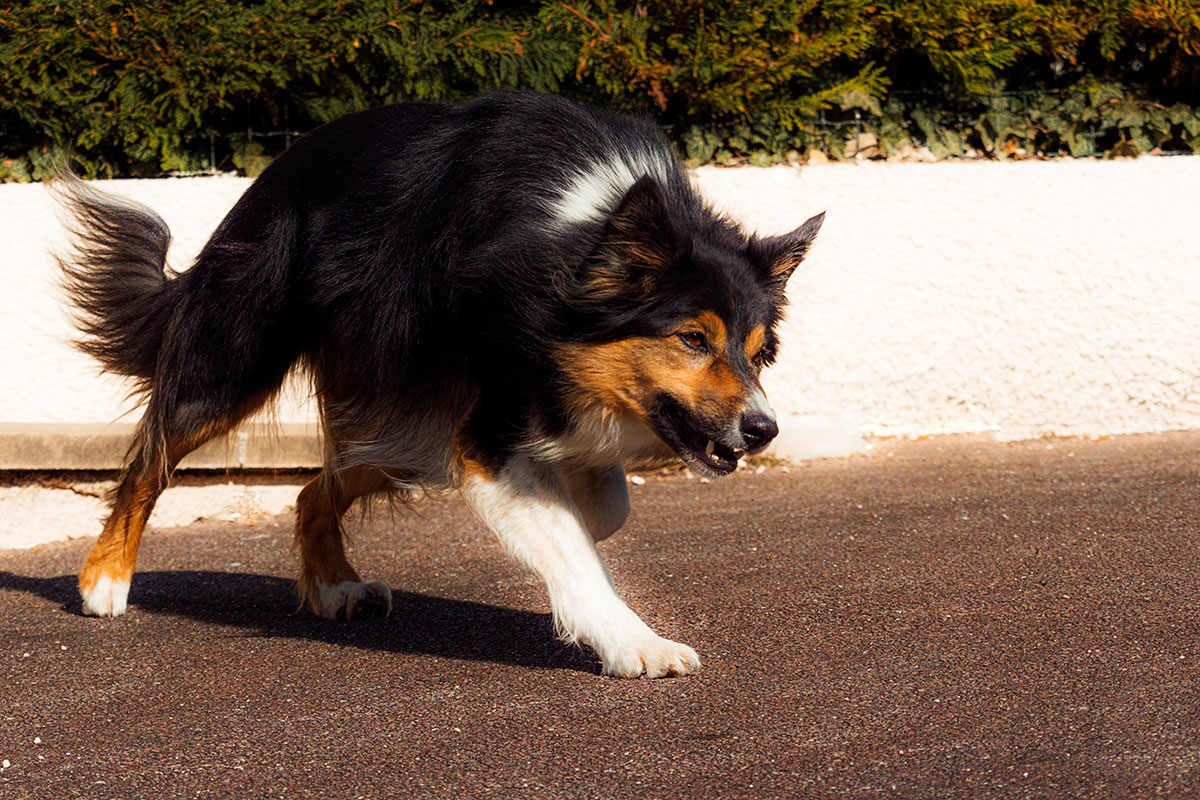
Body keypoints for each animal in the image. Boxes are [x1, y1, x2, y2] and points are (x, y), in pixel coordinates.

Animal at [58, 90, 825, 681]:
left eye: (759, 353)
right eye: (692, 339)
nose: (763, 430)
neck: (575, 249)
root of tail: (271, 174)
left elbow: (604, 508)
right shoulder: (489, 427)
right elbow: (574, 545)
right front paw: (636, 643)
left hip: (405, 415)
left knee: (312, 490)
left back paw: (334, 585)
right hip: (242, 359)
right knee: (151, 458)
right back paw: (105, 580)